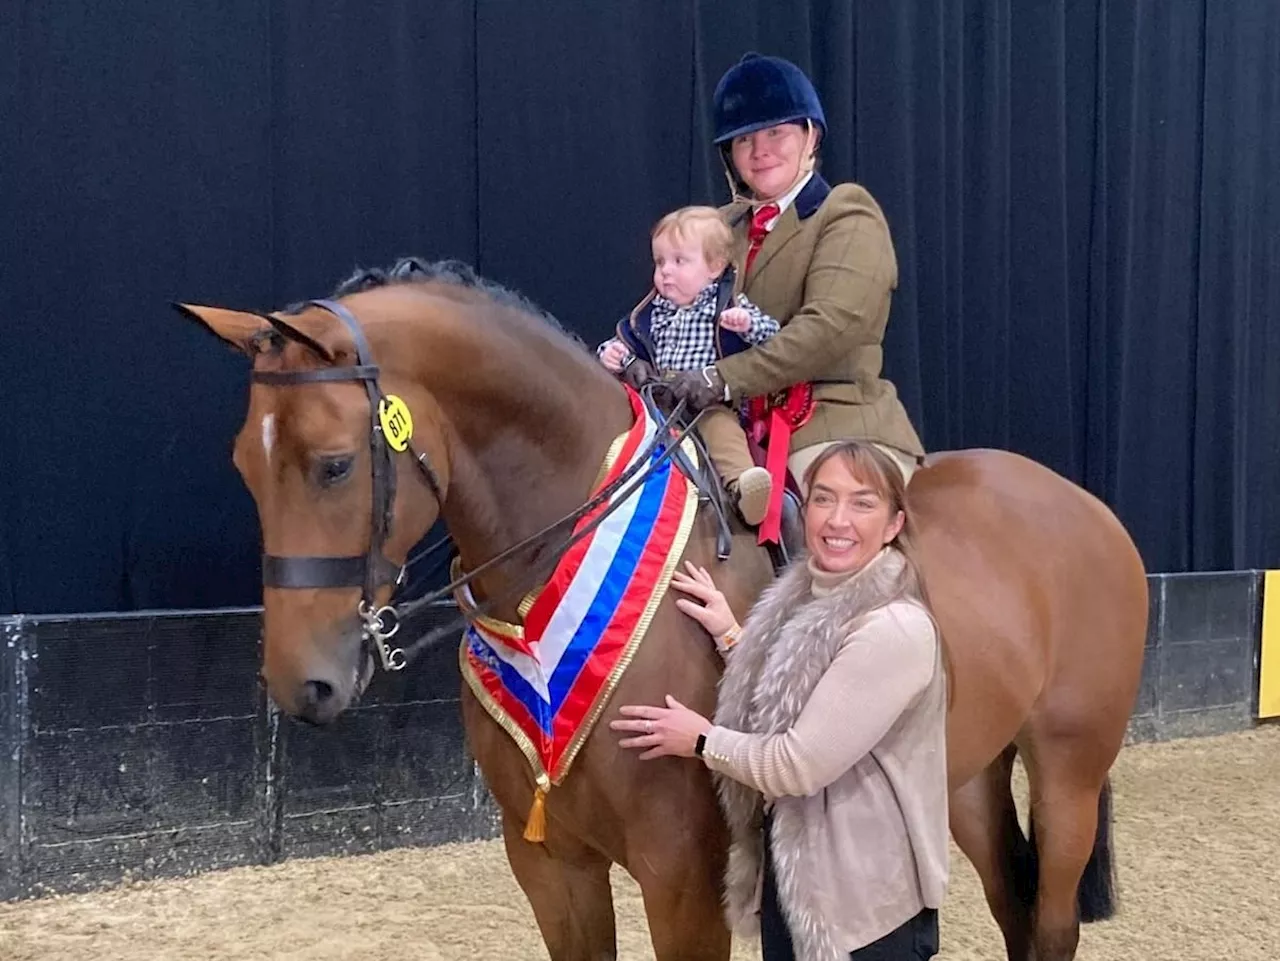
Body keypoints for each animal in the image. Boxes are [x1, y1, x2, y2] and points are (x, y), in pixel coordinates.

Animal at [177, 257, 1152, 961]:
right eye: (242, 463)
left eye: (335, 464)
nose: (301, 686)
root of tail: (1086, 507)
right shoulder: (548, 863)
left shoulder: (685, 877)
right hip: (959, 775)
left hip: (1067, 768)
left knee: (1051, 920)